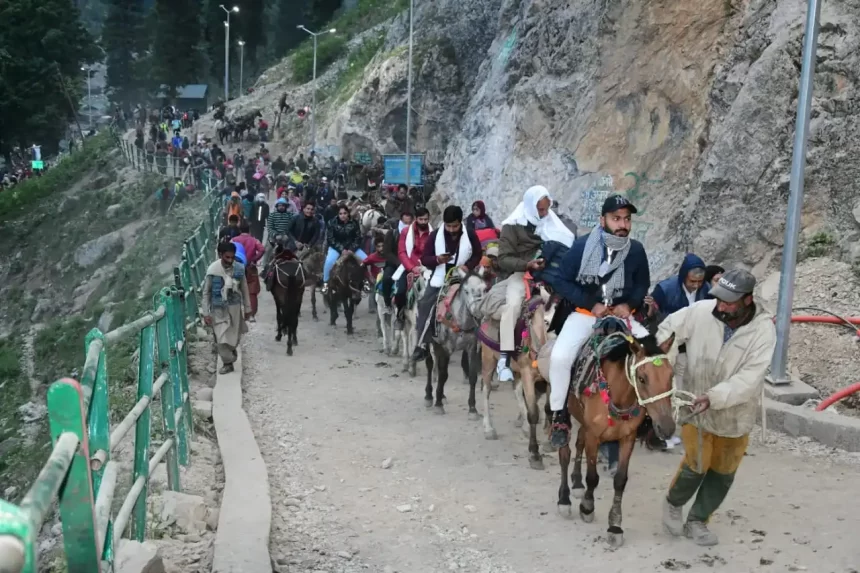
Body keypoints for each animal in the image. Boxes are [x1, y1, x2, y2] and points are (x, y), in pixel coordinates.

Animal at [544, 316, 680, 548]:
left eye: (671, 376)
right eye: (642, 378)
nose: (667, 428)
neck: (618, 395)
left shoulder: (628, 438)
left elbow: (620, 480)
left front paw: (615, 525)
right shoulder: (595, 435)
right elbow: (592, 477)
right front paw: (587, 507)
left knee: (578, 444)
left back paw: (576, 483)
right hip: (565, 413)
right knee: (565, 453)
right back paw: (565, 499)